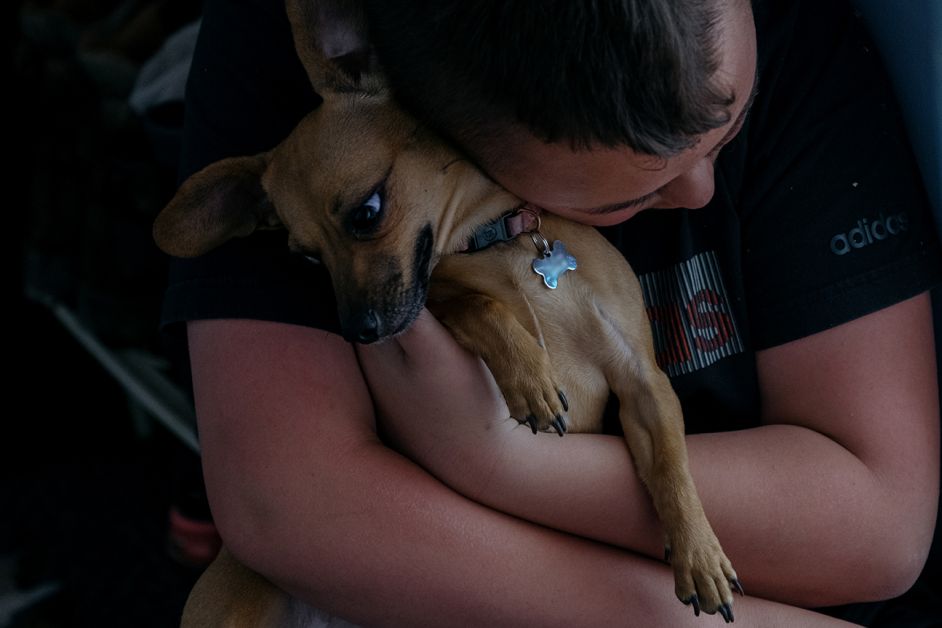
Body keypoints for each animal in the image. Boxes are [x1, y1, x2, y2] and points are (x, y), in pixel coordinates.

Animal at [155, 0, 744, 624]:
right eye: (309, 258)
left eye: (367, 212)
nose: (359, 331)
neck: (503, 241)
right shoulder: (436, 302)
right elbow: (481, 304)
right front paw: (529, 376)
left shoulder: (642, 381)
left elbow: (672, 469)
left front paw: (699, 554)